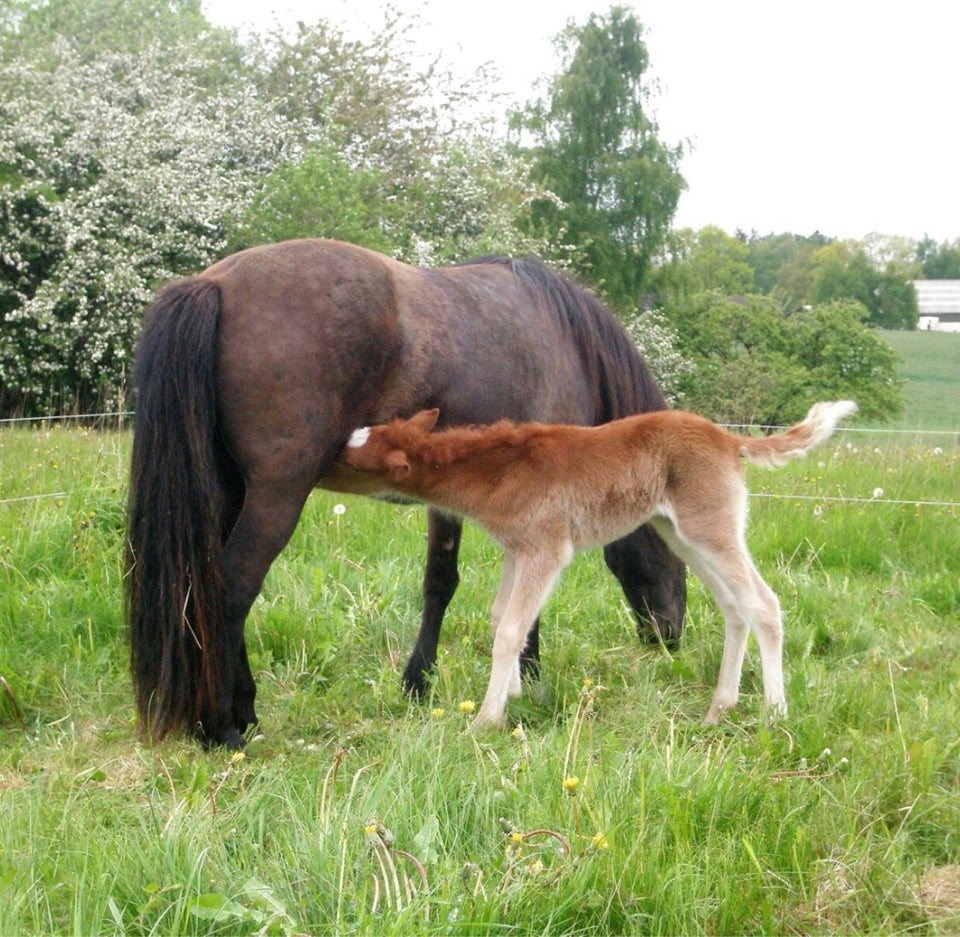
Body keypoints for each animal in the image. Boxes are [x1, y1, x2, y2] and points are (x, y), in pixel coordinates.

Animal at [127, 239, 688, 744]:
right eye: (679, 550)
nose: (671, 636)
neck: (567, 341)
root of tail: (215, 285)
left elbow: (439, 581)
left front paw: (419, 682)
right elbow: (520, 601)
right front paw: (526, 676)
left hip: (230, 492)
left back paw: (242, 711)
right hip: (275, 496)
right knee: (234, 587)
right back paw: (222, 726)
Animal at [336, 398, 856, 728]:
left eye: (353, 460)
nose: (327, 454)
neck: (497, 470)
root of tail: (728, 440)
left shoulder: (546, 547)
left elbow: (511, 629)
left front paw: (486, 719)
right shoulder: (517, 549)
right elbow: (502, 618)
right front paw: (514, 698)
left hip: (710, 525)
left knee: (763, 605)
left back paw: (774, 713)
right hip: (683, 532)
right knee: (735, 607)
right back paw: (718, 709)